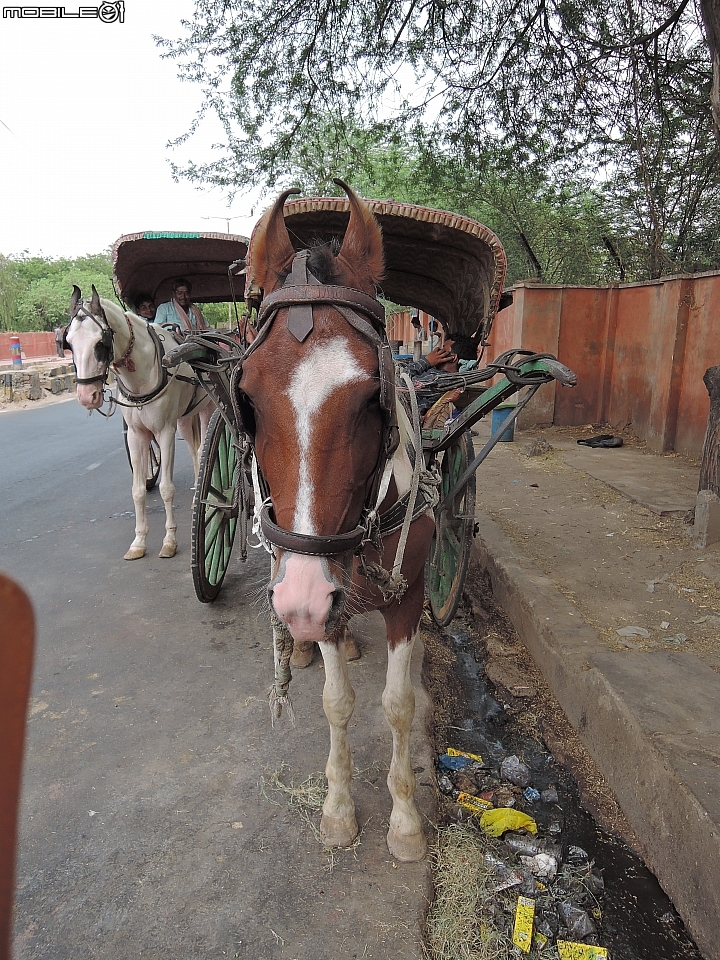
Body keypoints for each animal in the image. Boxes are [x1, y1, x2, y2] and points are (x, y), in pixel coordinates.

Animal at [65, 282, 212, 560]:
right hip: (185, 418)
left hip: (207, 409)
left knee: (203, 449)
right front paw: (139, 542)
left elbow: (166, 488)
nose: (87, 396)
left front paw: (169, 541)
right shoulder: (135, 434)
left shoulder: (165, 431)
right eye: (67, 342)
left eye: (101, 342)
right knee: (195, 449)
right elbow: (138, 491)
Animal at [240, 182, 434, 864]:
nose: (298, 604)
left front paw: (405, 819)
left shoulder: (406, 596)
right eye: (246, 398)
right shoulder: (319, 591)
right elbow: (336, 702)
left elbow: (398, 704)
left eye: (372, 397)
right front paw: (340, 807)